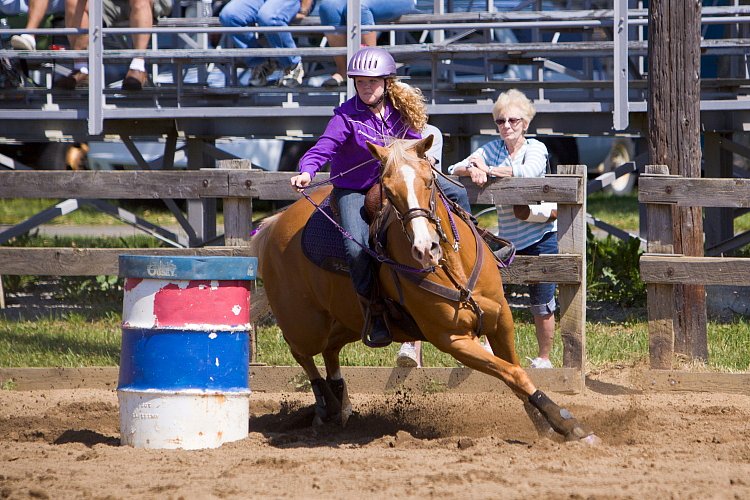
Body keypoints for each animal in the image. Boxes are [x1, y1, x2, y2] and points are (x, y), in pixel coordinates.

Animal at [251, 135, 600, 444]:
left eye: (429, 181)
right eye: (389, 191)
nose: (424, 248)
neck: (452, 266)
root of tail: (274, 224)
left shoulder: (501, 320)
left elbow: (515, 373)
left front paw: (545, 425)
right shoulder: (453, 340)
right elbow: (514, 374)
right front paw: (568, 425)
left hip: (348, 320)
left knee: (329, 349)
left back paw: (341, 403)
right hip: (306, 322)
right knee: (302, 352)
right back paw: (326, 405)